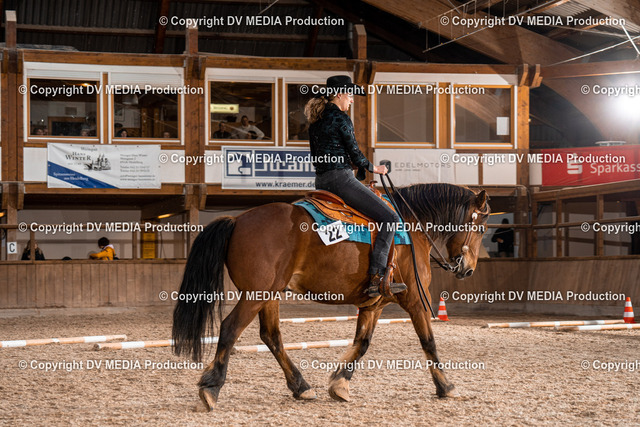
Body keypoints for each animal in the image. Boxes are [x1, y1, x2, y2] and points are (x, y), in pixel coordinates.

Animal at [172, 183, 490, 410]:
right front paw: (446, 387)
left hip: (268, 295)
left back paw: (301, 387)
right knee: (230, 328)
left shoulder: (374, 303)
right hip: (255, 295)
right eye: (481, 227)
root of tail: (237, 219)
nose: (469, 269)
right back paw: (211, 387)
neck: (410, 226)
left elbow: (362, 343)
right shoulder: (415, 301)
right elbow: (429, 342)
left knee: (271, 336)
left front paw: (339, 384)